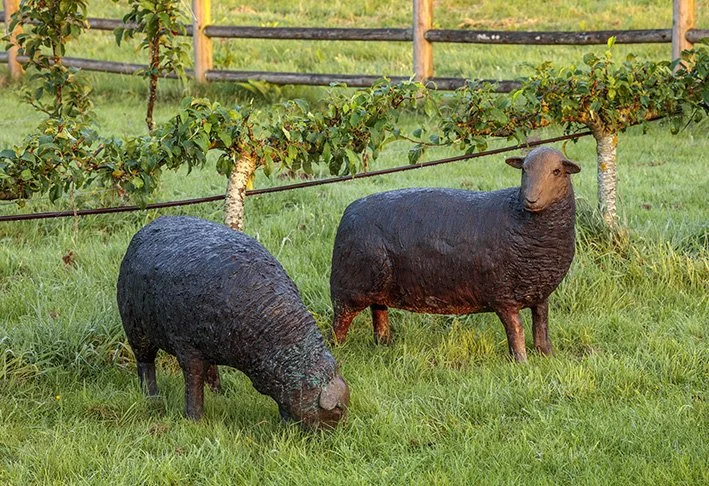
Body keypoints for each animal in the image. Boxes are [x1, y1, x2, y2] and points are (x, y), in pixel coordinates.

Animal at [117, 216, 349, 429]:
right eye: (336, 413)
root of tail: (151, 225)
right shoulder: (187, 348)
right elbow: (193, 383)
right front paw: (194, 419)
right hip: (136, 328)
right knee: (145, 363)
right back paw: (151, 397)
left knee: (210, 367)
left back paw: (218, 392)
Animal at [329, 146, 581, 361]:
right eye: (524, 170)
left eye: (557, 171)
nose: (531, 199)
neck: (519, 217)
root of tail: (349, 210)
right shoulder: (503, 294)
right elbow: (516, 329)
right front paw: (521, 362)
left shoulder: (539, 293)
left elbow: (542, 324)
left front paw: (547, 355)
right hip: (348, 286)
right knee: (340, 319)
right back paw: (336, 349)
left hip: (379, 285)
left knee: (378, 310)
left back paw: (384, 343)